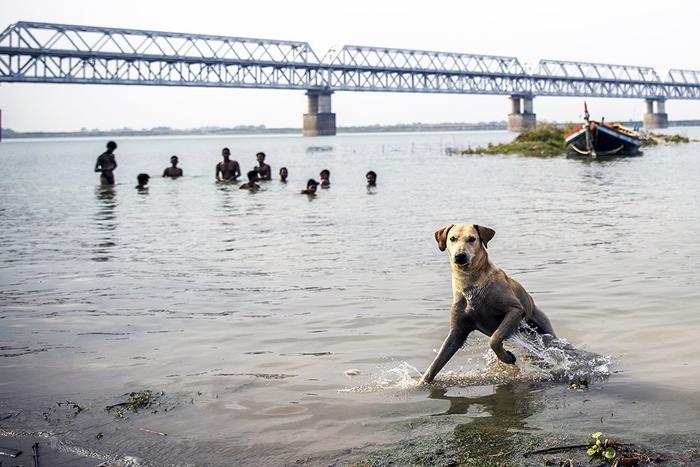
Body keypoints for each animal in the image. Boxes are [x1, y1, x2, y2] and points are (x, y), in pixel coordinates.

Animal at [418, 226, 556, 384]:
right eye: (452, 238)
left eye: (472, 239)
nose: (460, 256)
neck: (470, 282)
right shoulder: (457, 331)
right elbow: (435, 364)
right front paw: (419, 384)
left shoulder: (515, 310)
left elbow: (494, 339)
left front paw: (507, 357)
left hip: (545, 330)